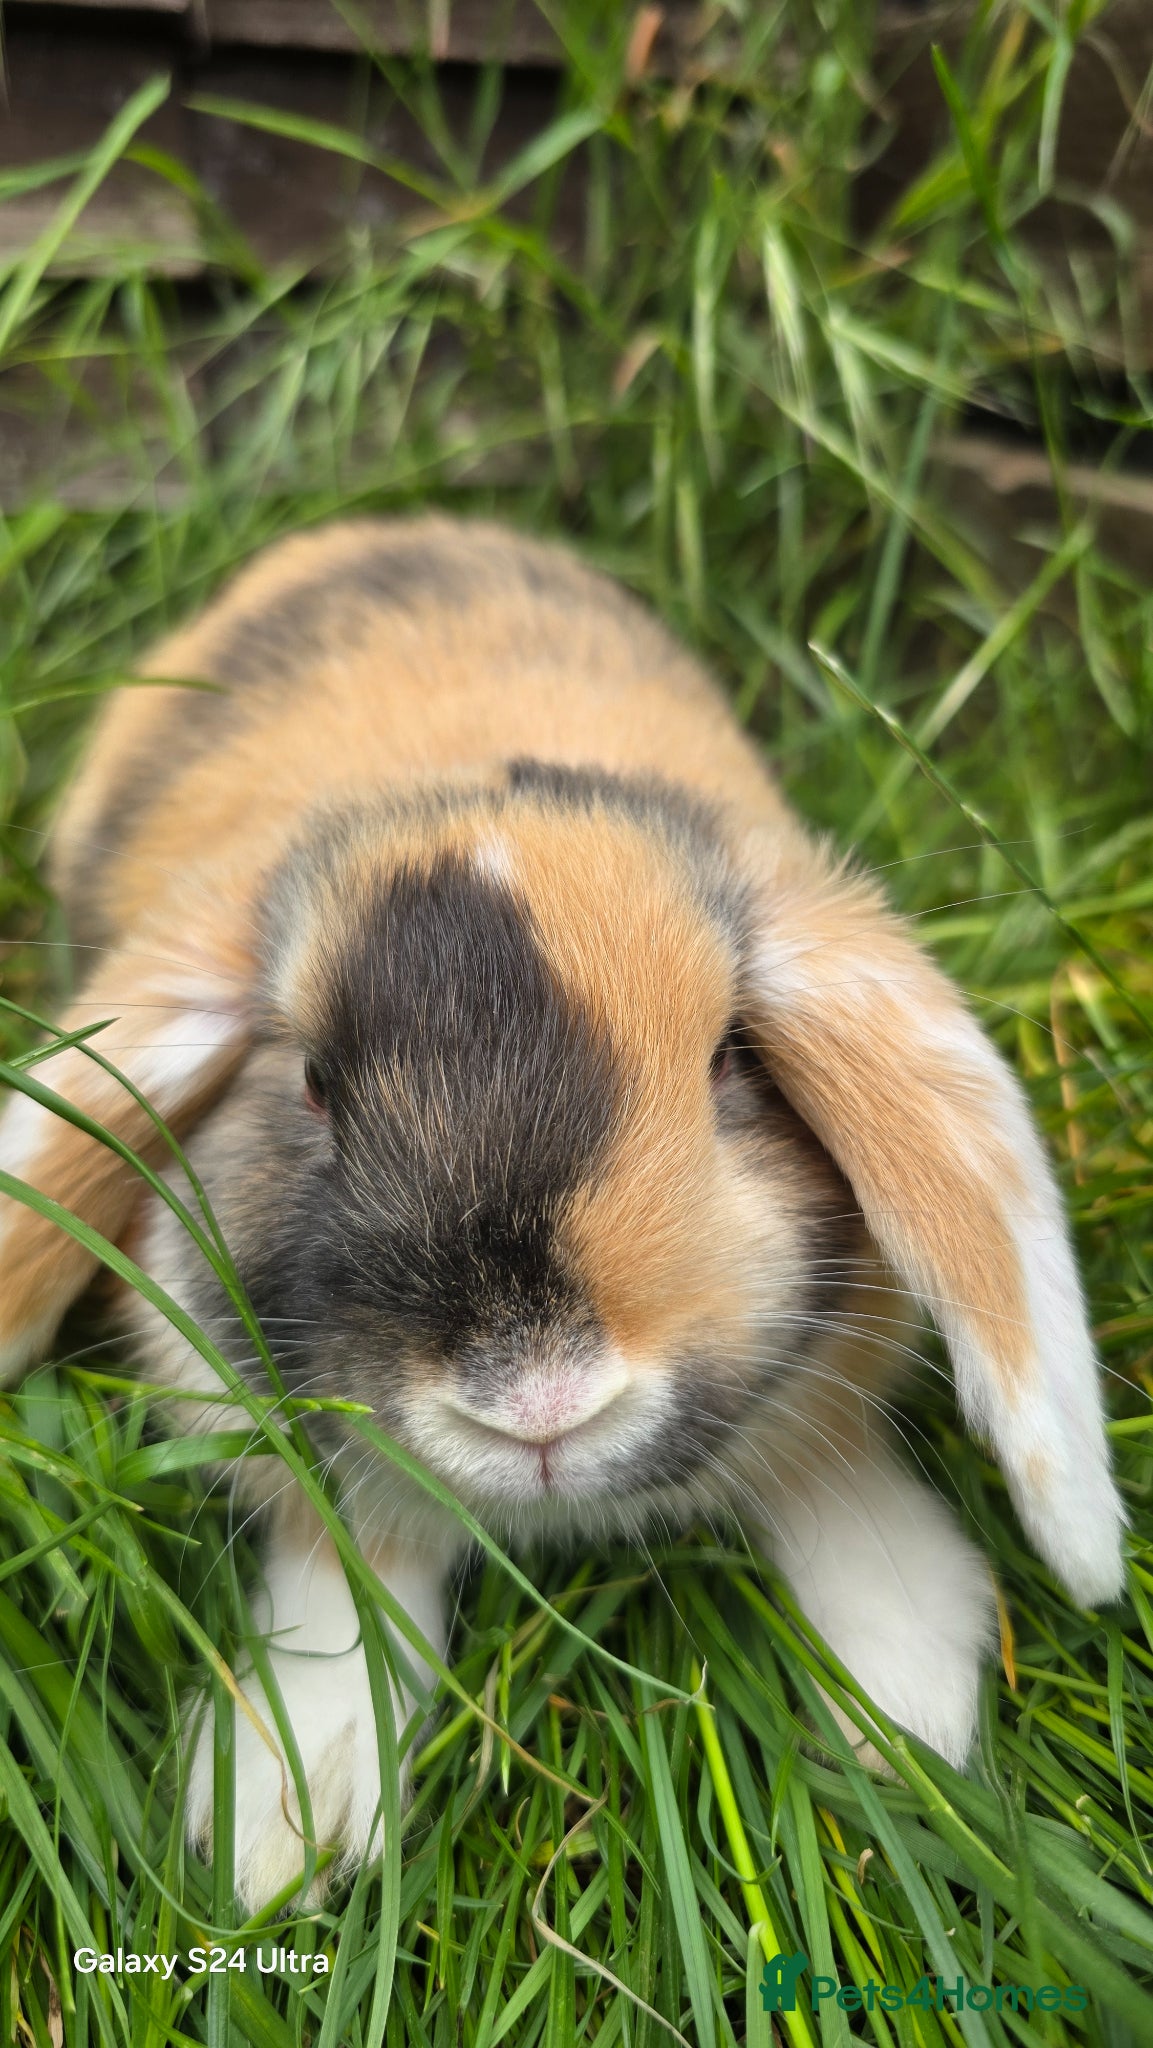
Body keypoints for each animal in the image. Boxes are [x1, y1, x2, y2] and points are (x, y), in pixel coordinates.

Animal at [0, 515, 1125, 1909]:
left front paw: (910, 1715)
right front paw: (280, 1833)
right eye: (310, 1084)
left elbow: (836, 1488)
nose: (538, 1401)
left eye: (727, 1060)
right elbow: (350, 1588)